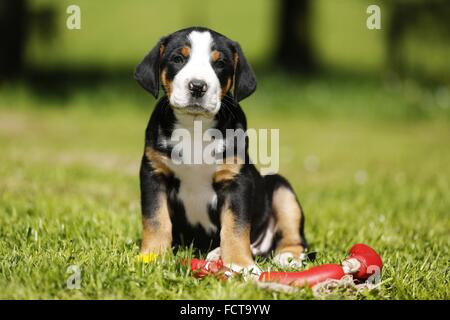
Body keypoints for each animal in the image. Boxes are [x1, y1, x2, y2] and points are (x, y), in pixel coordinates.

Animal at [135, 26, 308, 272]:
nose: (197, 86)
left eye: (219, 63)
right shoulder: (153, 173)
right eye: (178, 59)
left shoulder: (236, 181)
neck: (195, 126)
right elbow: (155, 219)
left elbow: (235, 227)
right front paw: (153, 256)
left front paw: (240, 264)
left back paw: (287, 257)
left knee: (292, 236)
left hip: (281, 187)